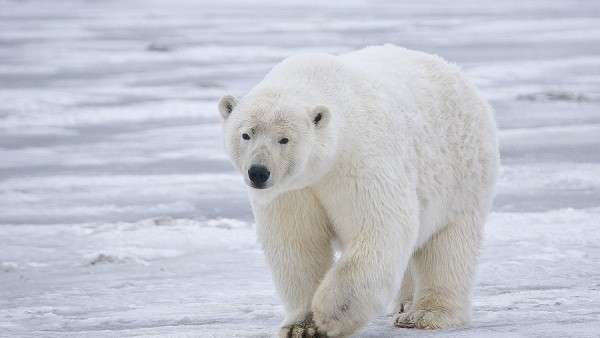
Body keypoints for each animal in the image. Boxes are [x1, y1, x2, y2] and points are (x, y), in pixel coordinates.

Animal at [218, 44, 500, 336]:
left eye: (284, 139)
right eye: (246, 134)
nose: (258, 172)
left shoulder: (358, 160)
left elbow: (380, 227)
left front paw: (331, 315)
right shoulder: (292, 191)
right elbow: (297, 243)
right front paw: (301, 326)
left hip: (462, 174)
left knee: (448, 246)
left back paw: (426, 314)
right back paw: (404, 304)